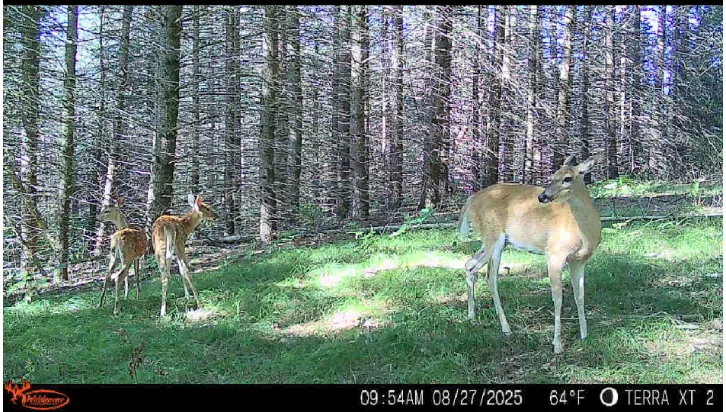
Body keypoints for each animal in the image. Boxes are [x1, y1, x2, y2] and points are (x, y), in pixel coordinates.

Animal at [458, 155, 602, 354]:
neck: (583, 232)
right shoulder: (554, 254)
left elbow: (579, 296)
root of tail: (470, 200)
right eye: (552, 176)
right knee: (490, 278)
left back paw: (472, 317)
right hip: (494, 237)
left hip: (493, 241)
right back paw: (506, 328)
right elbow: (558, 298)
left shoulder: (579, 260)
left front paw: (584, 335)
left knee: (469, 265)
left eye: (567, 178)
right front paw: (557, 344)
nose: (542, 196)